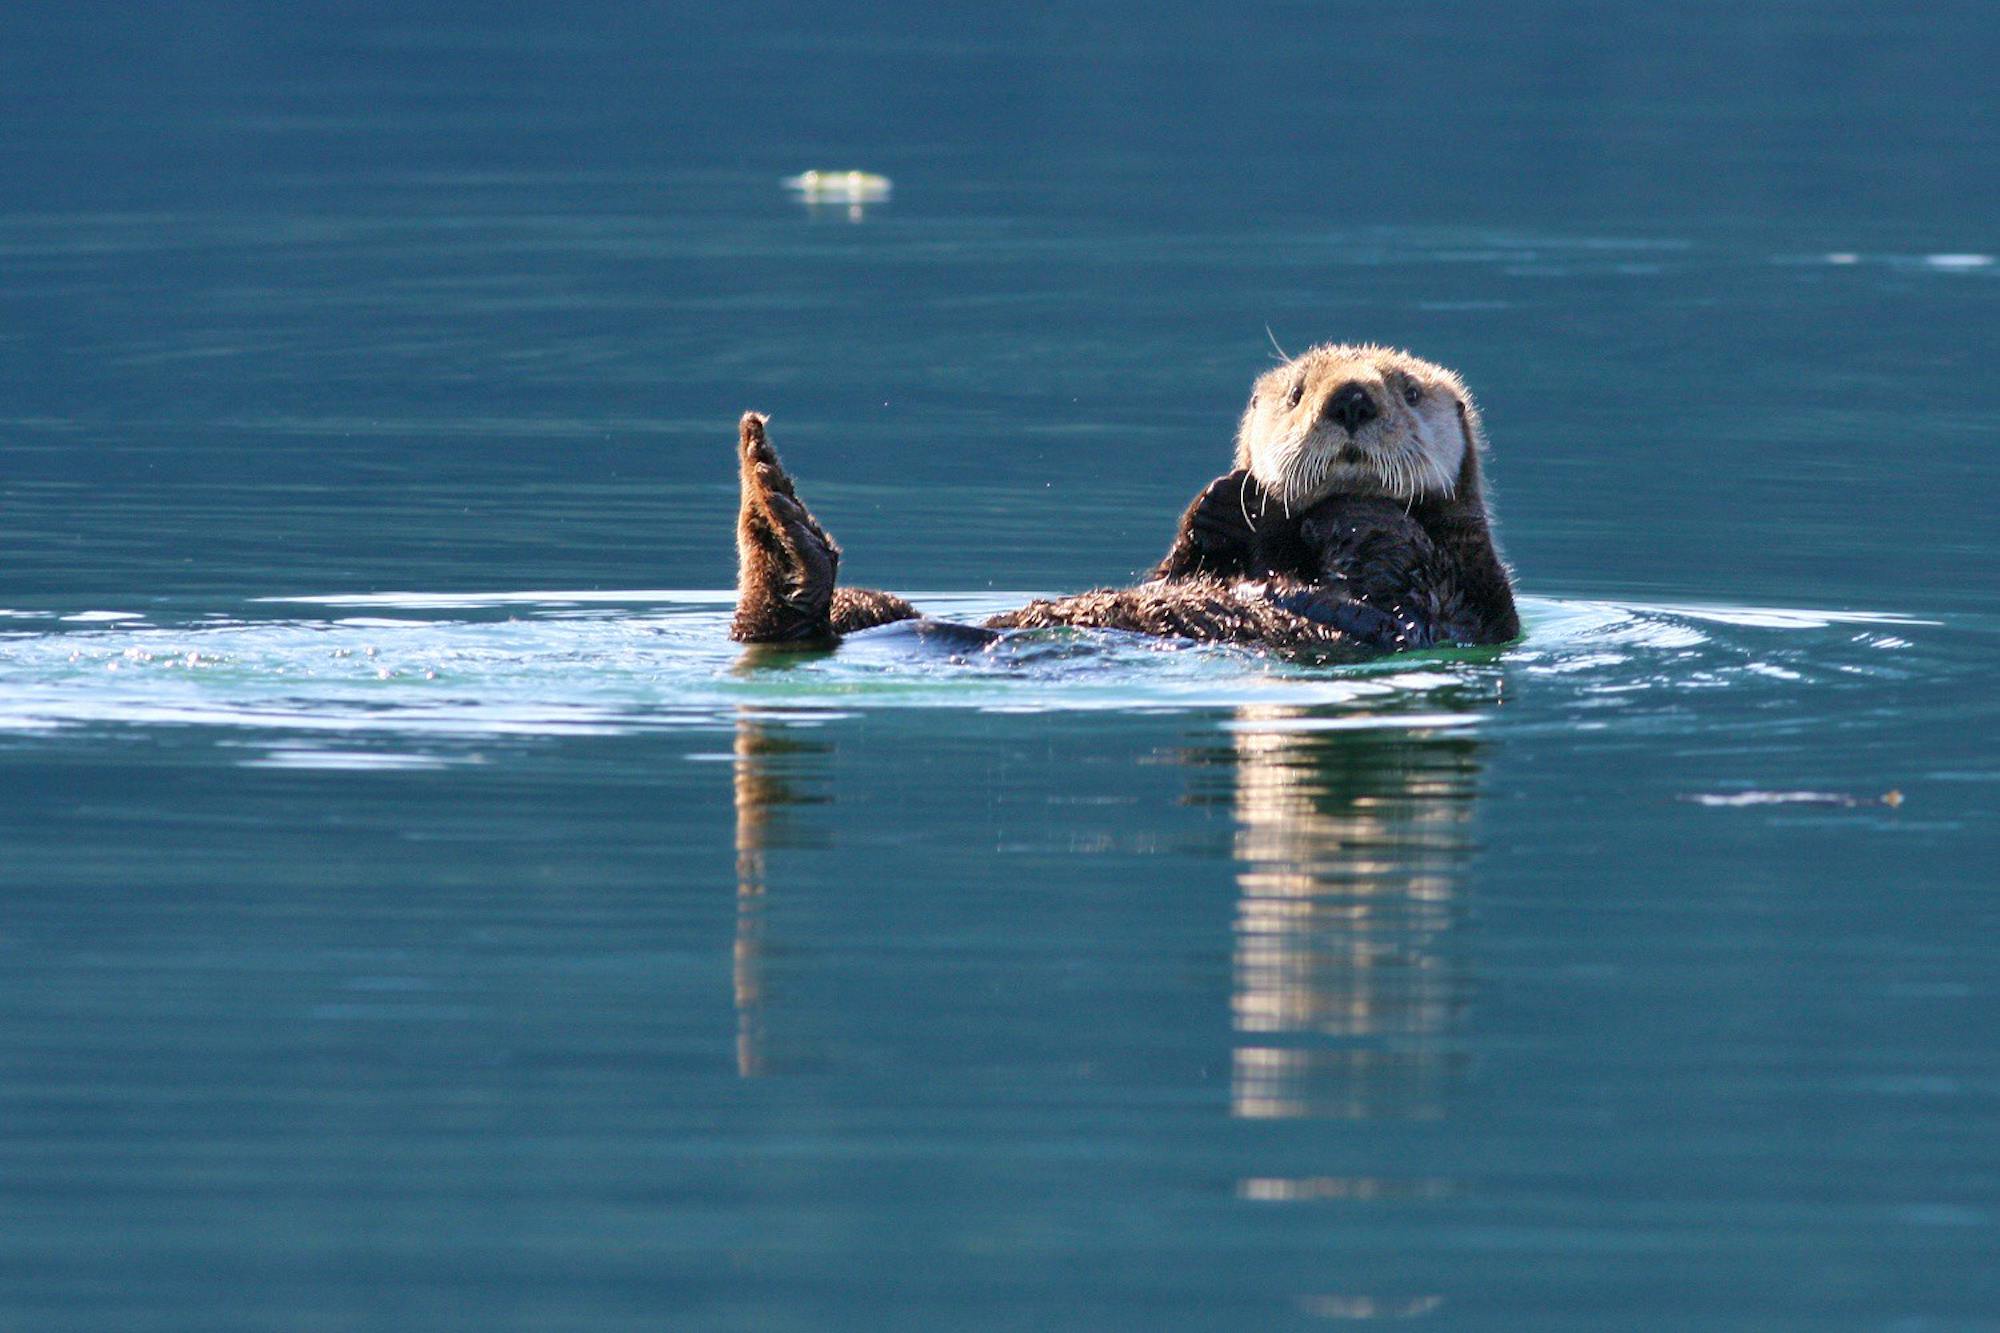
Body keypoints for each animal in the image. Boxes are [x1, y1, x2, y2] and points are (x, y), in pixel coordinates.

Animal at [732, 342, 1512, 652]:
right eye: (1297, 393)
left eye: (1407, 391)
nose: (1351, 399)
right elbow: (1182, 566)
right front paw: (1226, 500)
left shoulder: (1467, 597)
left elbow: (1404, 572)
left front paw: (1350, 511)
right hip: (874, 611)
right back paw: (768, 493)